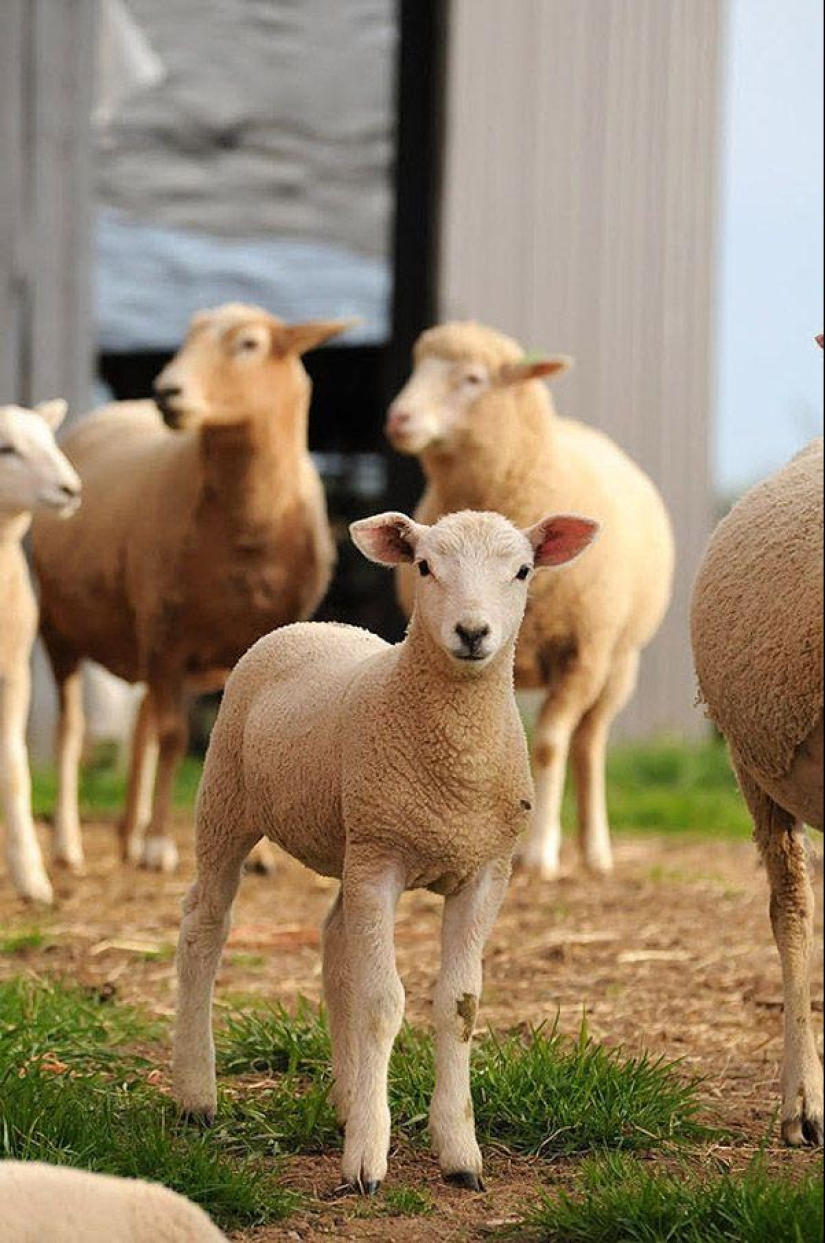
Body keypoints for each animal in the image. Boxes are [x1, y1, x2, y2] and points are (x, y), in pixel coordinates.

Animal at [32, 304, 351, 874]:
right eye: (185, 338)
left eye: (248, 343)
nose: (167, 392)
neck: (246, 532)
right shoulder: (166, 635)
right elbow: (174, 736)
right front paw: (160, 845)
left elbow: (244, 738)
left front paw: (257, 856)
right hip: (61, 627)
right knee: (72, 730)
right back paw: (72, 844)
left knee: (140, 720)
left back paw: (128, 836)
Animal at [173, 507, 599, 1194]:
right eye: (424, 566)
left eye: (523, 570)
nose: (473, 632)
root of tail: (316, 623)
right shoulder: (382, 864)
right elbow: (381, 1003)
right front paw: (367, 1162)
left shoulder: (483, 870)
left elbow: (458, 1006)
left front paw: (459, 1153)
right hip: (227, 798)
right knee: (203, 925)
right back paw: (195, 1096)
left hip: (351, 835)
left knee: (335, 943)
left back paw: (350, 1100)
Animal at [386, 322, 675, 877]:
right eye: (415, 367)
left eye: (473, 379)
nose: (399, 419)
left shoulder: (584, 654)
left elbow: (547, 746)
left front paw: (540, 854)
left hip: (620, 662)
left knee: (587, 744)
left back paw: (594, 850)